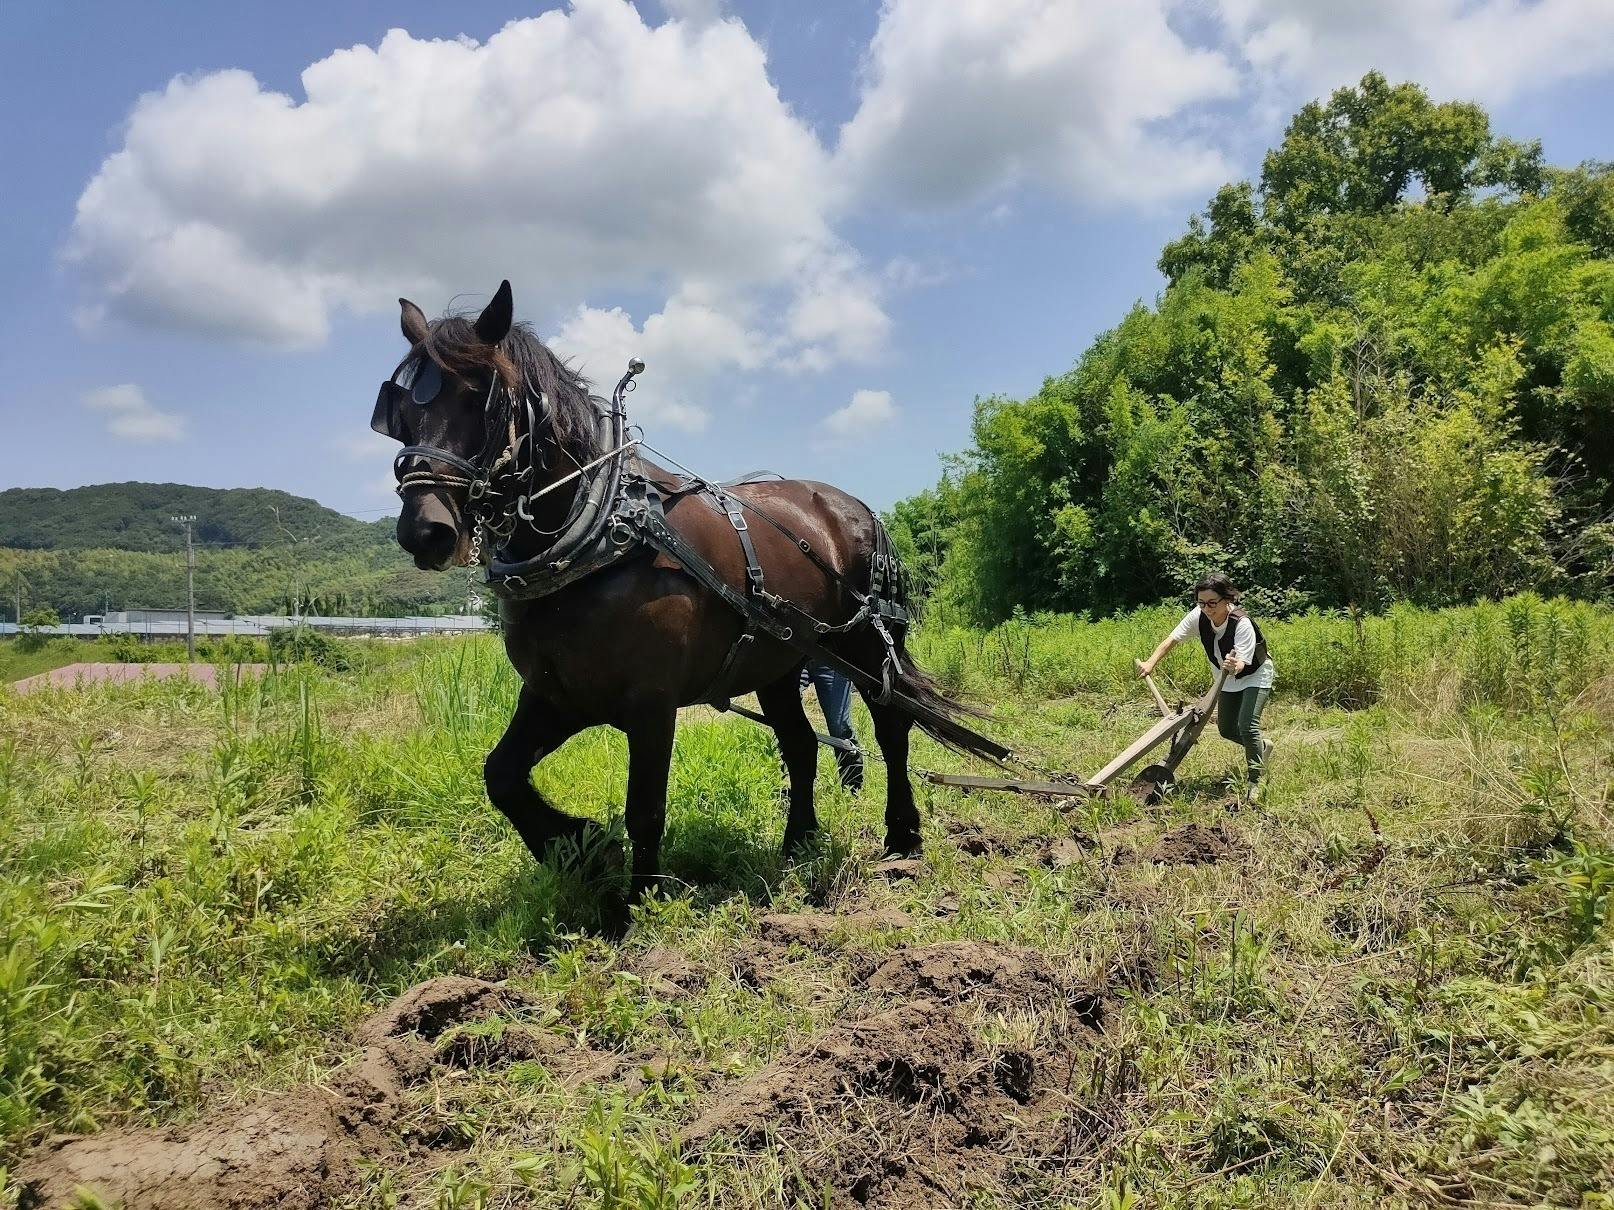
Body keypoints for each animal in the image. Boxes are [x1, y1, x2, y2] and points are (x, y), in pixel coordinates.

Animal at [376, 287, 1000, 909]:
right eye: (399, 412)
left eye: (481, 398)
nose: (425, 531)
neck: (599, 535)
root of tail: (857, 509)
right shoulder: (556, 694)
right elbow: (501, 775)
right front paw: (583, 849)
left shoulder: (651, 703)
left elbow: (645, 809)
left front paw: (638, 903)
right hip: (779, 659)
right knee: (800, 745)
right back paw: (798, 842)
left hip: (864, 643)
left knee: (892, 728)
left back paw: (901, 835)